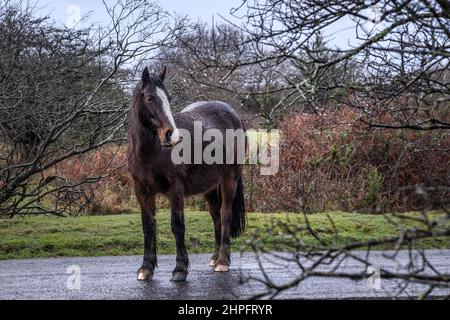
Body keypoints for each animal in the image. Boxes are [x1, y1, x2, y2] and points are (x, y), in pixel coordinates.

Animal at [126, 66, 246, 282]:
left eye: (168, 98)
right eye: (150, 98)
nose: (170, 135)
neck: (152, 152)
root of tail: (235, 115)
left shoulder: (175, 191)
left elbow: (177, 226)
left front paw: (180, 269)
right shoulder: (142, 192)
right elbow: (148, 227)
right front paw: (146, 268)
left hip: (229, 178)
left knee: (225, 214)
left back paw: (223, 261)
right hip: (210, 187)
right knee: (216, 216)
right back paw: (215, 258)